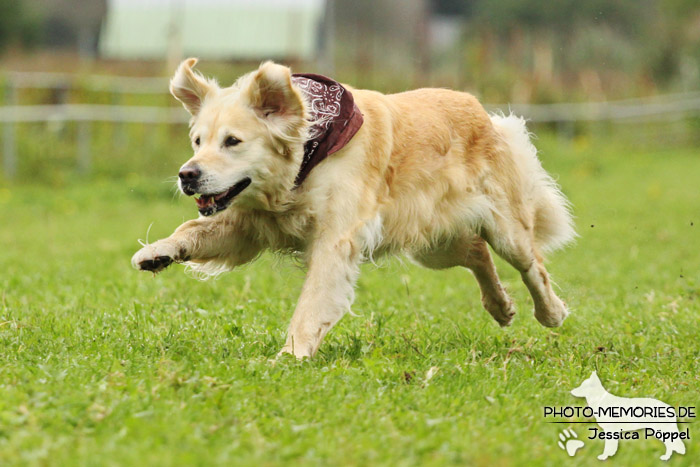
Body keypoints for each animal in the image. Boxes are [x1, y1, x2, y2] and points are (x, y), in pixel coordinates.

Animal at [130, 58, 576, 358]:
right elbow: (194, 230)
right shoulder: (250, 223)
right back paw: (500, 307)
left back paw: (551, 312)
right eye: (197, 141)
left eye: (232, 141)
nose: (187, 175)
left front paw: (290, 355)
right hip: (432, 243)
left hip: (504, 229)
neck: (306, 158)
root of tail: (481, 111)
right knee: (477, 252)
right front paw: (158, 252)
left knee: (532, 265)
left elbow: (312, 302)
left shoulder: (335, 238)